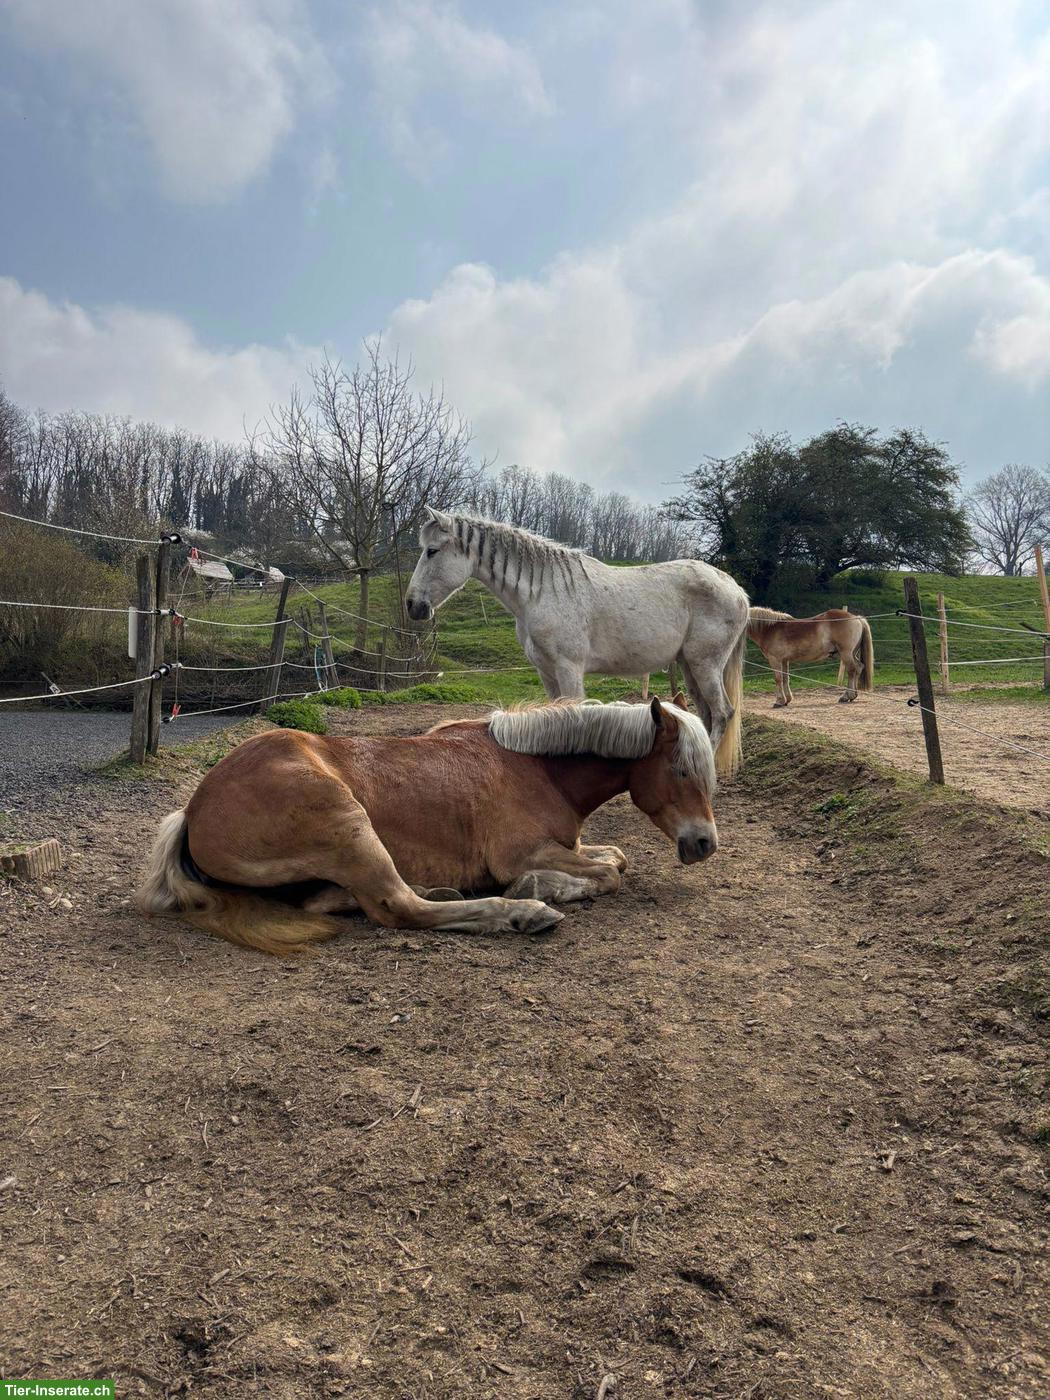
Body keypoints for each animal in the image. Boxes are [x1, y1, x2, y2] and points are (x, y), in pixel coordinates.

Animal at [135, 697, 719, 955]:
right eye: (681, 769)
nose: (705, 843)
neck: (537, 768)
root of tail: (191, 812)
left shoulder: (569, 842)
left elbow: (616, 856)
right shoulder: (524, 852)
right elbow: (610, 873)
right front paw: (539, 888)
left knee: (338, 900)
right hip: (348, 823)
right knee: (397, 908)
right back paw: (522, 913)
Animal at [405, 509, 751, 778]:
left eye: (432, 551)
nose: (412, 605)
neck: (542, 593)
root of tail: (736, 590)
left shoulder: (568, 668)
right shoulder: (546, 671)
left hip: (705, 665)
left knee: (722, 713)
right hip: (690, 666)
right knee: (706, 714)